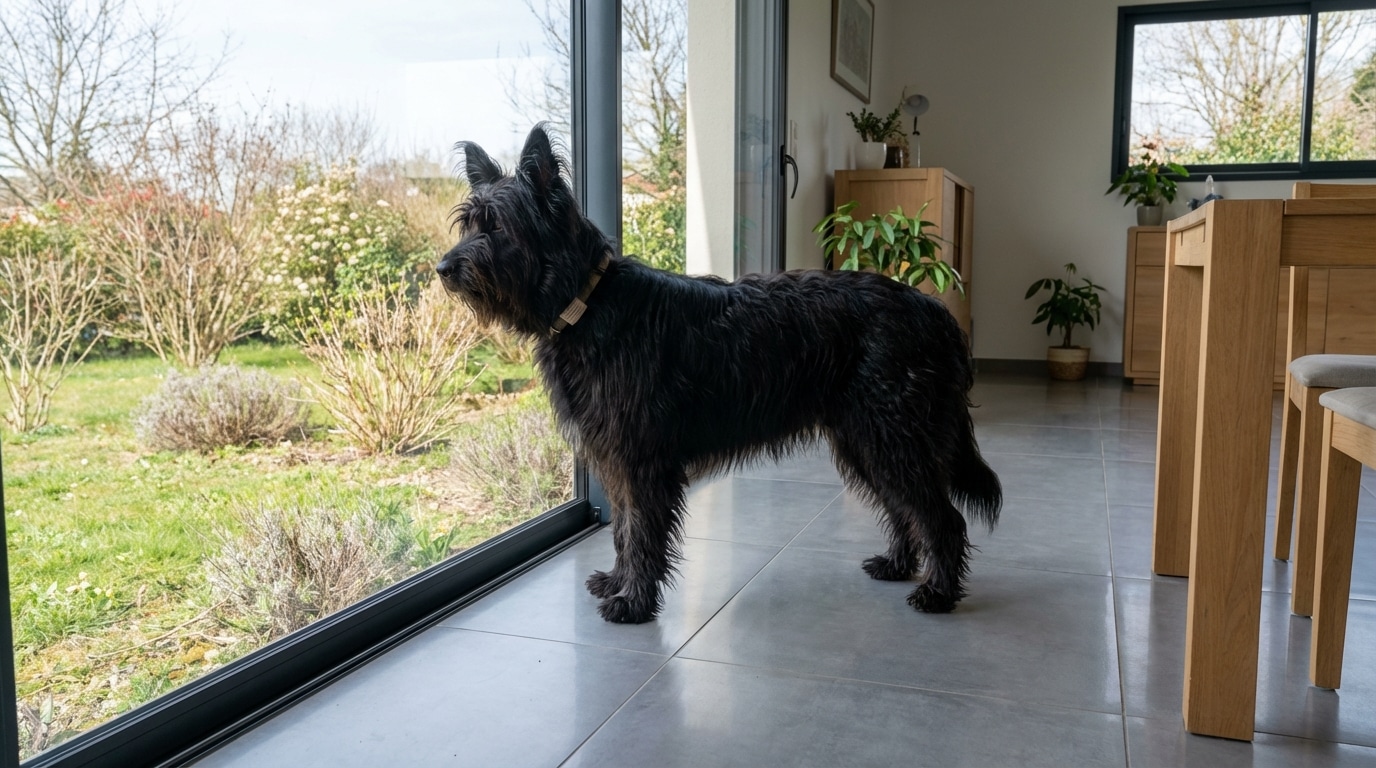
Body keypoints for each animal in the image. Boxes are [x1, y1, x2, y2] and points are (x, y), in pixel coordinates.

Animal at [436, 124, 1002, 624]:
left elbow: (641, 532)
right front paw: (618, 582)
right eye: (468, 223)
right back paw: (899, 565)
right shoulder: (615, 458)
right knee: (906, 509)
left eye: (498, 226)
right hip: (866, 441)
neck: (589, 302)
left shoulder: (641, 460)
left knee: (942, 517)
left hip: (892, 436)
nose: (443, 269)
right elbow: (622, 529)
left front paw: (633, 603)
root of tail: (934, 311)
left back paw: (938, 593)